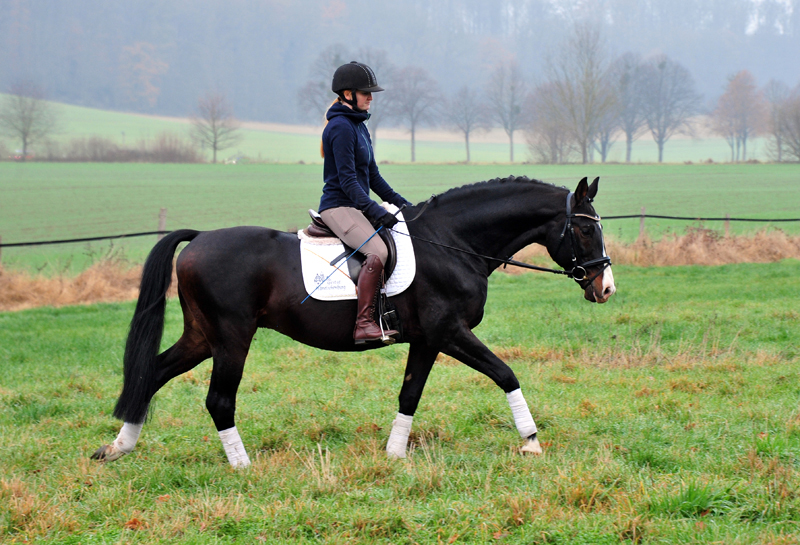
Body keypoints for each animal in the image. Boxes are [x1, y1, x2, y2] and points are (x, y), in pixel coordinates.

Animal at [95, 176, 620, 466]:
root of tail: (200, 238)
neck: (452, 242)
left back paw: (118, 448)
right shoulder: (450, 332)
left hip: (202, 336)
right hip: (231, 339)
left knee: (153, 373)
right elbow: (506, 373)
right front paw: (531, 442)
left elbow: (410, 394)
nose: (605, 288)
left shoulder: (427, 339)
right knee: (219, 400)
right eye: (584, 229)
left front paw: (394, 454)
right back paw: (242, 466)